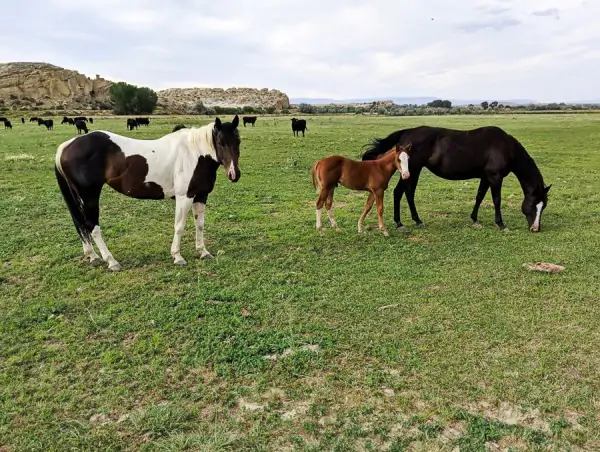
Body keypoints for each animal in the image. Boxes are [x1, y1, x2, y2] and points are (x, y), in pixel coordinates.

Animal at [54, 116, 241, 272]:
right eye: (220, 142)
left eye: (238, 141)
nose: (234, 174)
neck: (194, 153)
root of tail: (66, 146)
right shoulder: (184, 197)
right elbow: (179, 226)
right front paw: (177, 256)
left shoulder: (200, 196)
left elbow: (200, 225)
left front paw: (203, 252)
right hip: (89, 196)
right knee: (92, 226)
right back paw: (111, 261)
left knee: (81, 224)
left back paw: (92, 256)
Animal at [360, 126, 552, 233]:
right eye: (533, 205)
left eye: (543, 206)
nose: (535, 228)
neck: (504, 147)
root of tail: (407, 132)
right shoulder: (495, 178)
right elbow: (496, 200)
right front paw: (501, 224)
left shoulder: (485, 177)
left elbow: (479, 196)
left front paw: (474, 219)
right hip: (412, 171)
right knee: (403, 192)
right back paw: (404, 222)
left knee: (403, 192)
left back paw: (409, 221)